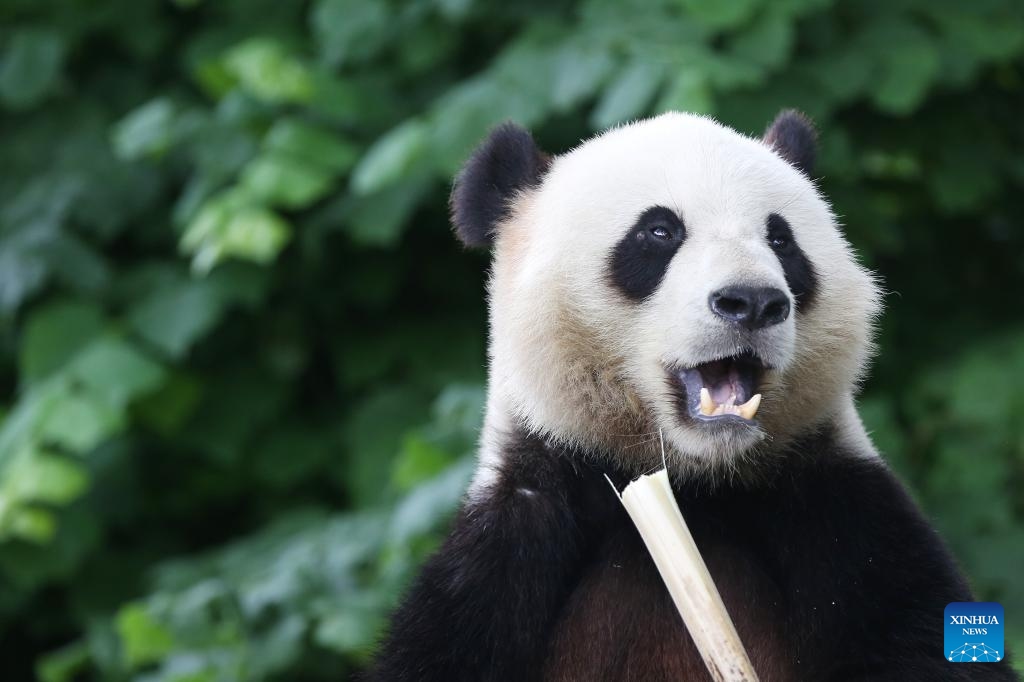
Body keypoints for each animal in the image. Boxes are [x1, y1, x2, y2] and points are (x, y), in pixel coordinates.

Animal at [368, 111, 1018, 681]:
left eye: (781, 239)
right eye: (660, 231)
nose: (752, 301)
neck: (695, 480)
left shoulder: (843, 516)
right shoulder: (512, 541)